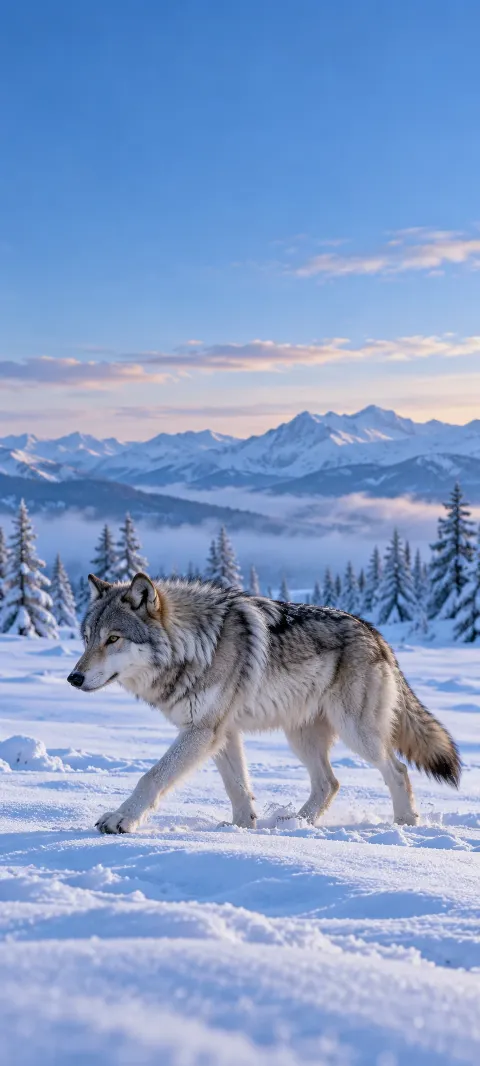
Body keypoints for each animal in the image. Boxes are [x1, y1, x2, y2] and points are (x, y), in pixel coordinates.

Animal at [67, 572, 461, 835]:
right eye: (87, 638)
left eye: (113, 639)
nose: (74, 678)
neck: (196, 646)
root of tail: (377, 635)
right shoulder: (221, 734)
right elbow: (238, 788)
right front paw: (244, 830)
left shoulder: (202, 732)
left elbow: (151, 776)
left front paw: (121, 819)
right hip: (300, 737)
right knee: (329, 783)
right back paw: (294, 824)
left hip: (357, 734)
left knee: (398, 770)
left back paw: (405, 823)